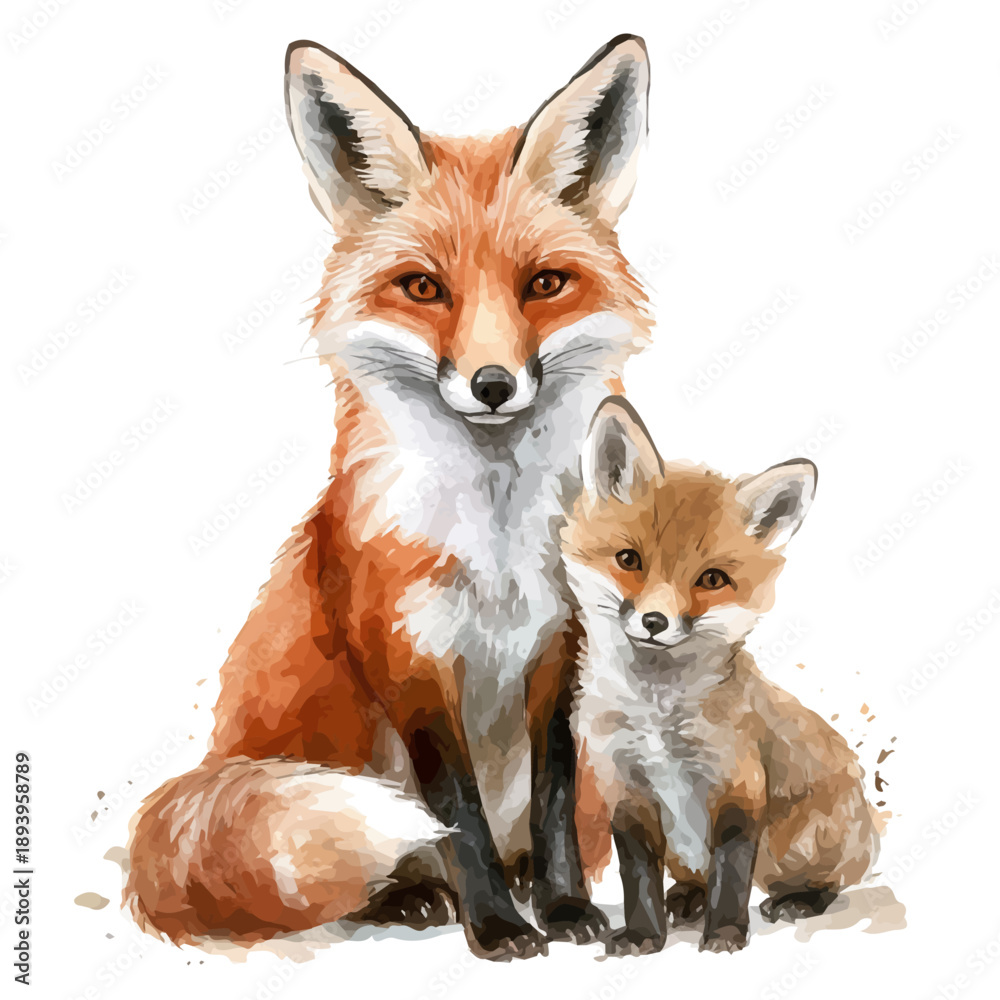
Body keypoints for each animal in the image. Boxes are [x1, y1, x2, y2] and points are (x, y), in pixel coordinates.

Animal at [125, 37, 652, 960]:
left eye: (545, 284)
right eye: (424, 288)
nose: (491, 384)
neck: (497, 544)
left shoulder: (563, 646)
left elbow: (553, 799)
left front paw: (562, 907)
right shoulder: (408, 655)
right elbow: (455, 812)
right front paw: (496, 926)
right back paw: (409, 896)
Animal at [562, 398, 880, 956]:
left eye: (711, 579)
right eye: (628, 559)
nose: (654, 621)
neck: (657, 714)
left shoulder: (739, 785)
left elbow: (730, 874)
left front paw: (726, 934)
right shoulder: (625, 789)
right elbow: (638, 879)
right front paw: (643, 936)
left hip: (792, 843)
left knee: (829, 880)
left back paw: (800, 900)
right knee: (691, 876)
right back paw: (686, 900)